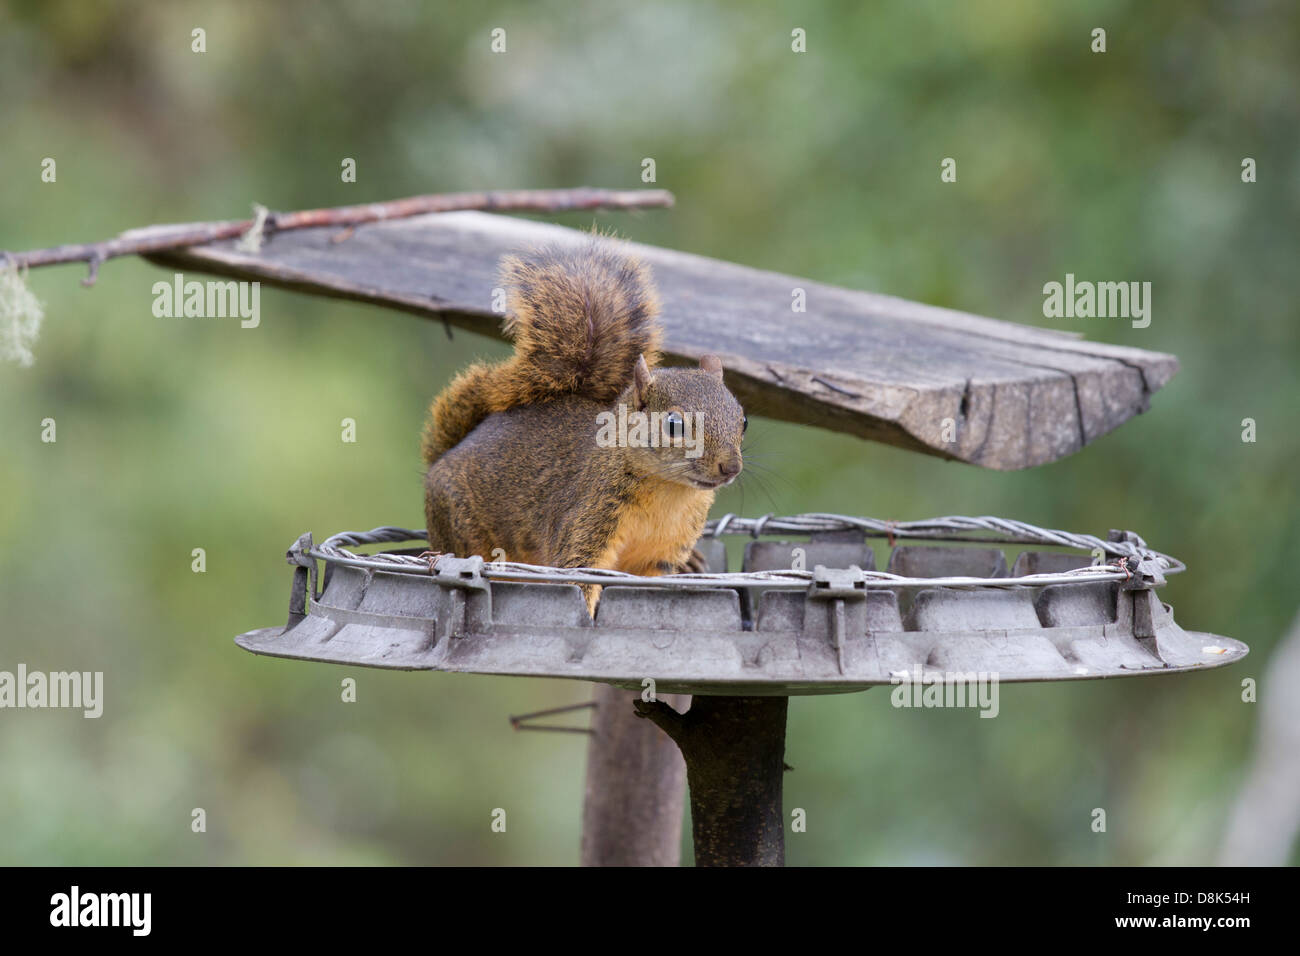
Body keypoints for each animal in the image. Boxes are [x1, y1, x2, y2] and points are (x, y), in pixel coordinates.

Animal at [416, 239, 743, 613]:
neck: (670, 493)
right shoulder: (588, 515)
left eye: (743, 419)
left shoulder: (660, 555)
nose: (731, 467)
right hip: (458, 522)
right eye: (673, 424)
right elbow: (577, 574)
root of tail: (448, 452)